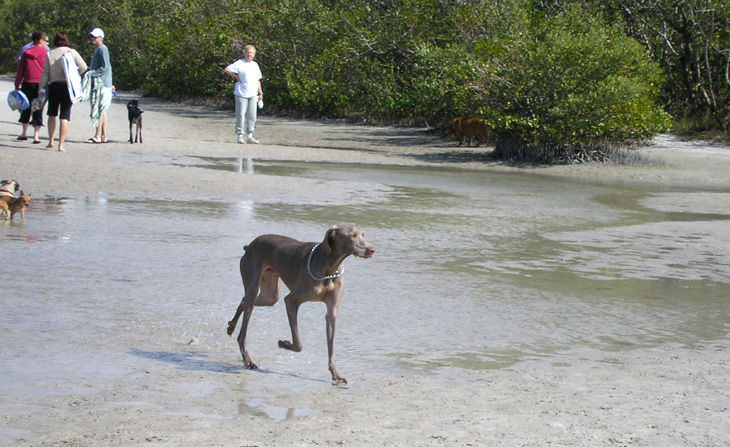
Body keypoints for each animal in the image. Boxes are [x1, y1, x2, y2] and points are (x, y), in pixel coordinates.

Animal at [226, 224, 376, 384]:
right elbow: (298, 344)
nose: (372, 250)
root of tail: (250, 245)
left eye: (363, 235)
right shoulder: (291, 301)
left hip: (270, 295)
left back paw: (231, 326)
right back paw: (248, 360)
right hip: (254, 283)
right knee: (243, 330)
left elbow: (332, 346)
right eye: (352, 236)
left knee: (244, 301)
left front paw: (336, 374)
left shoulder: (332, 312)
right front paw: (283, 343)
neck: (329, 267)